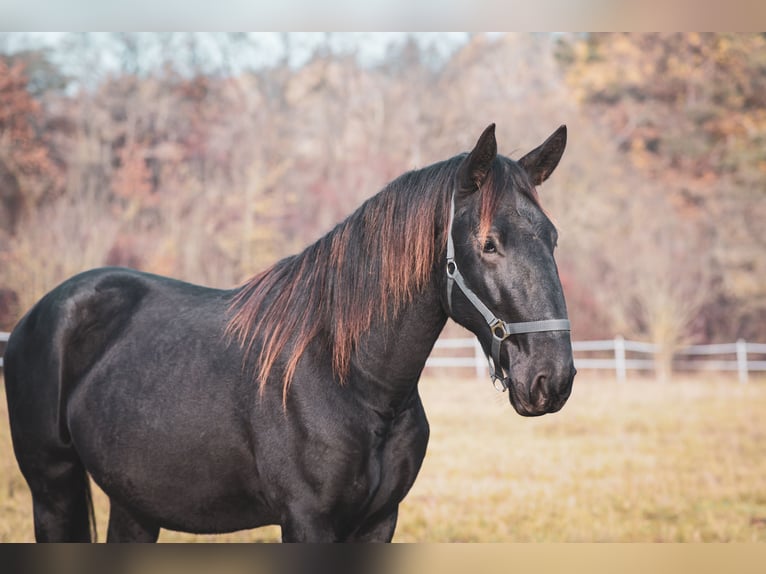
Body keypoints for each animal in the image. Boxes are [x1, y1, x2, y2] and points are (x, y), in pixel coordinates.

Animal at [1, 124, 576, 544]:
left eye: (552, 237)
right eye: (488, 243)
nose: (552, 379)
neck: (352, 383)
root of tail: (40, 314)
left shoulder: (379, 522)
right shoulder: (306, 522)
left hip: (134, 502)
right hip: (52, 490)